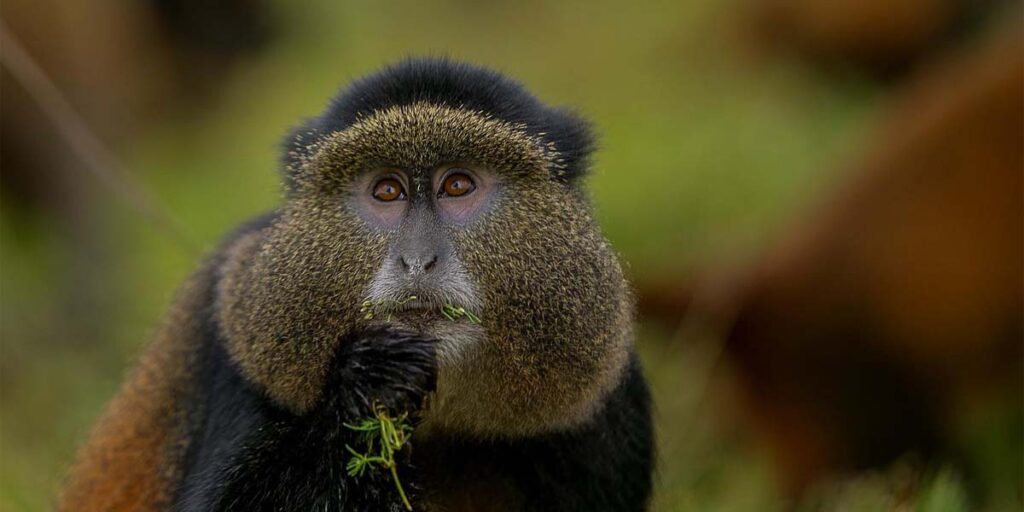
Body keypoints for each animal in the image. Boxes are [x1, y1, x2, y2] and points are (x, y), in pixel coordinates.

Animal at [58, 57, 654, 512]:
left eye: (458, 185)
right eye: (387, 190)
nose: (418, 260)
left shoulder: (608, 406)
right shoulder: (238, 342)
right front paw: (372, 381)